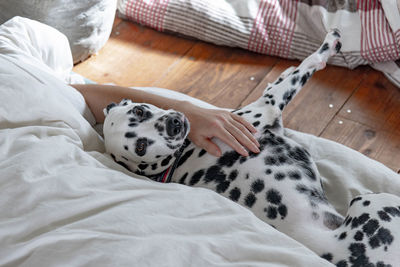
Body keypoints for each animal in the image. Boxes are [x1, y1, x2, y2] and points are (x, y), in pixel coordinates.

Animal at [104, 30, 400, 266]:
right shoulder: (269, 104)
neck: (181, 156)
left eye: (139, 111)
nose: (174, 125)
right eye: (141, 146)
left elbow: (287, 74)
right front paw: (330, 43)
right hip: (372, 200)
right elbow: (308, 64)